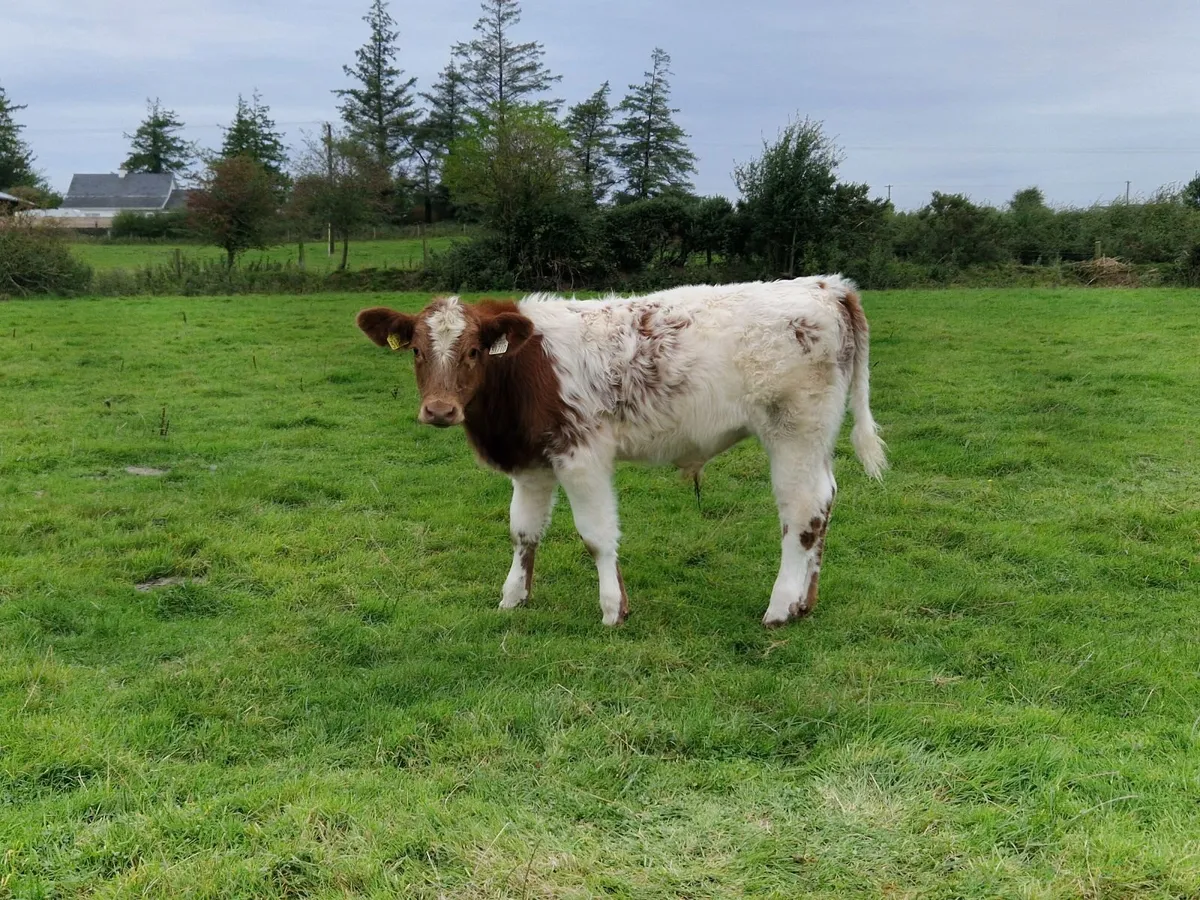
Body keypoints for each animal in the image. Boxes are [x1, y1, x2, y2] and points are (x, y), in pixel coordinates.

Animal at [355, 276, 887, 628]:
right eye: (416, 351)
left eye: (472, 352)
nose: (439, 409)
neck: (524, 368)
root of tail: (827, 286)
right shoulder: (531, 463)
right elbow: (523, 532)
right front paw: (513, 597)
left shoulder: (581, 455)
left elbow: (596, 535)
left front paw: (613, 609)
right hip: (814, 439)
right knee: (824, 500)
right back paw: (805, 601)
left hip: (793, 431)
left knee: (801, 513)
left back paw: (779, 607)